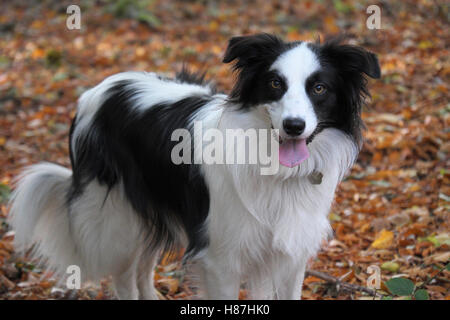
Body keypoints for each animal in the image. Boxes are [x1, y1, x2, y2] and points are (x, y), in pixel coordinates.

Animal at [7, 33, 380, 298]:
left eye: (319, 88)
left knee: (143, 269)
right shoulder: (222, 260)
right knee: (125, 276)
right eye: (275, 83)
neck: (274, 168)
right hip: (118, 218)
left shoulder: (289, 258)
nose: (293, 126)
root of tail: (98, 89)